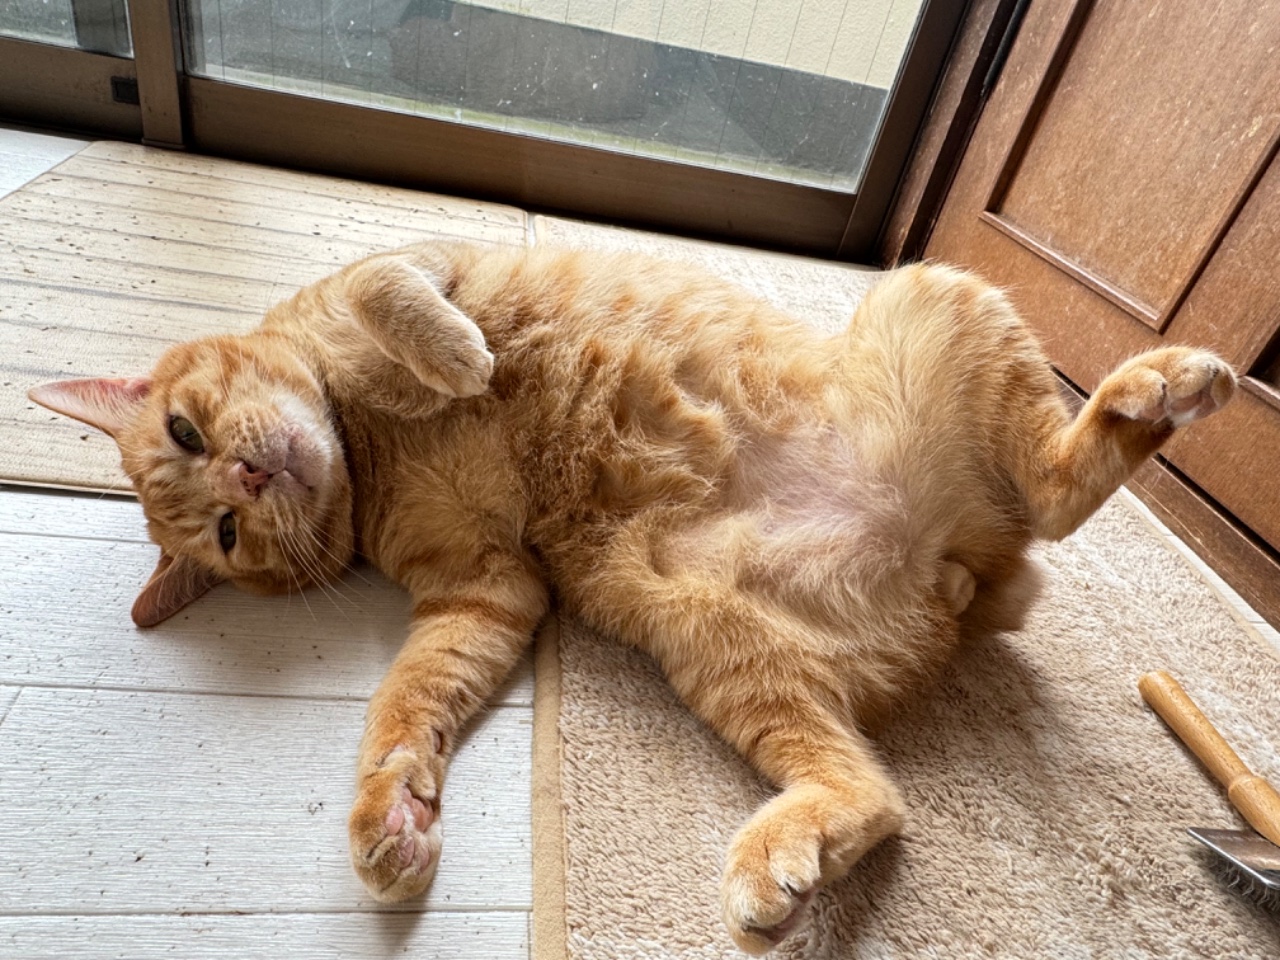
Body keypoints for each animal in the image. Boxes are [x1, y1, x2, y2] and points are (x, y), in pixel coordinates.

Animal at [30, 242, 1235, 954]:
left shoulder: (412, 260)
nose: (245, 477)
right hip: (714, 644)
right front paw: (396, 811)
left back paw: (1163, 383)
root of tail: (962, 571)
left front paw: (456, 355)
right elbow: (405, 705)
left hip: (932, 290)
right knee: (875, 795)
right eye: (226, 534)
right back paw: (780, 868)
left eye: (187, 430)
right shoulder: (487, 593)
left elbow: (390, 293)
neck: (365, 443)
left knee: (1061, 484)